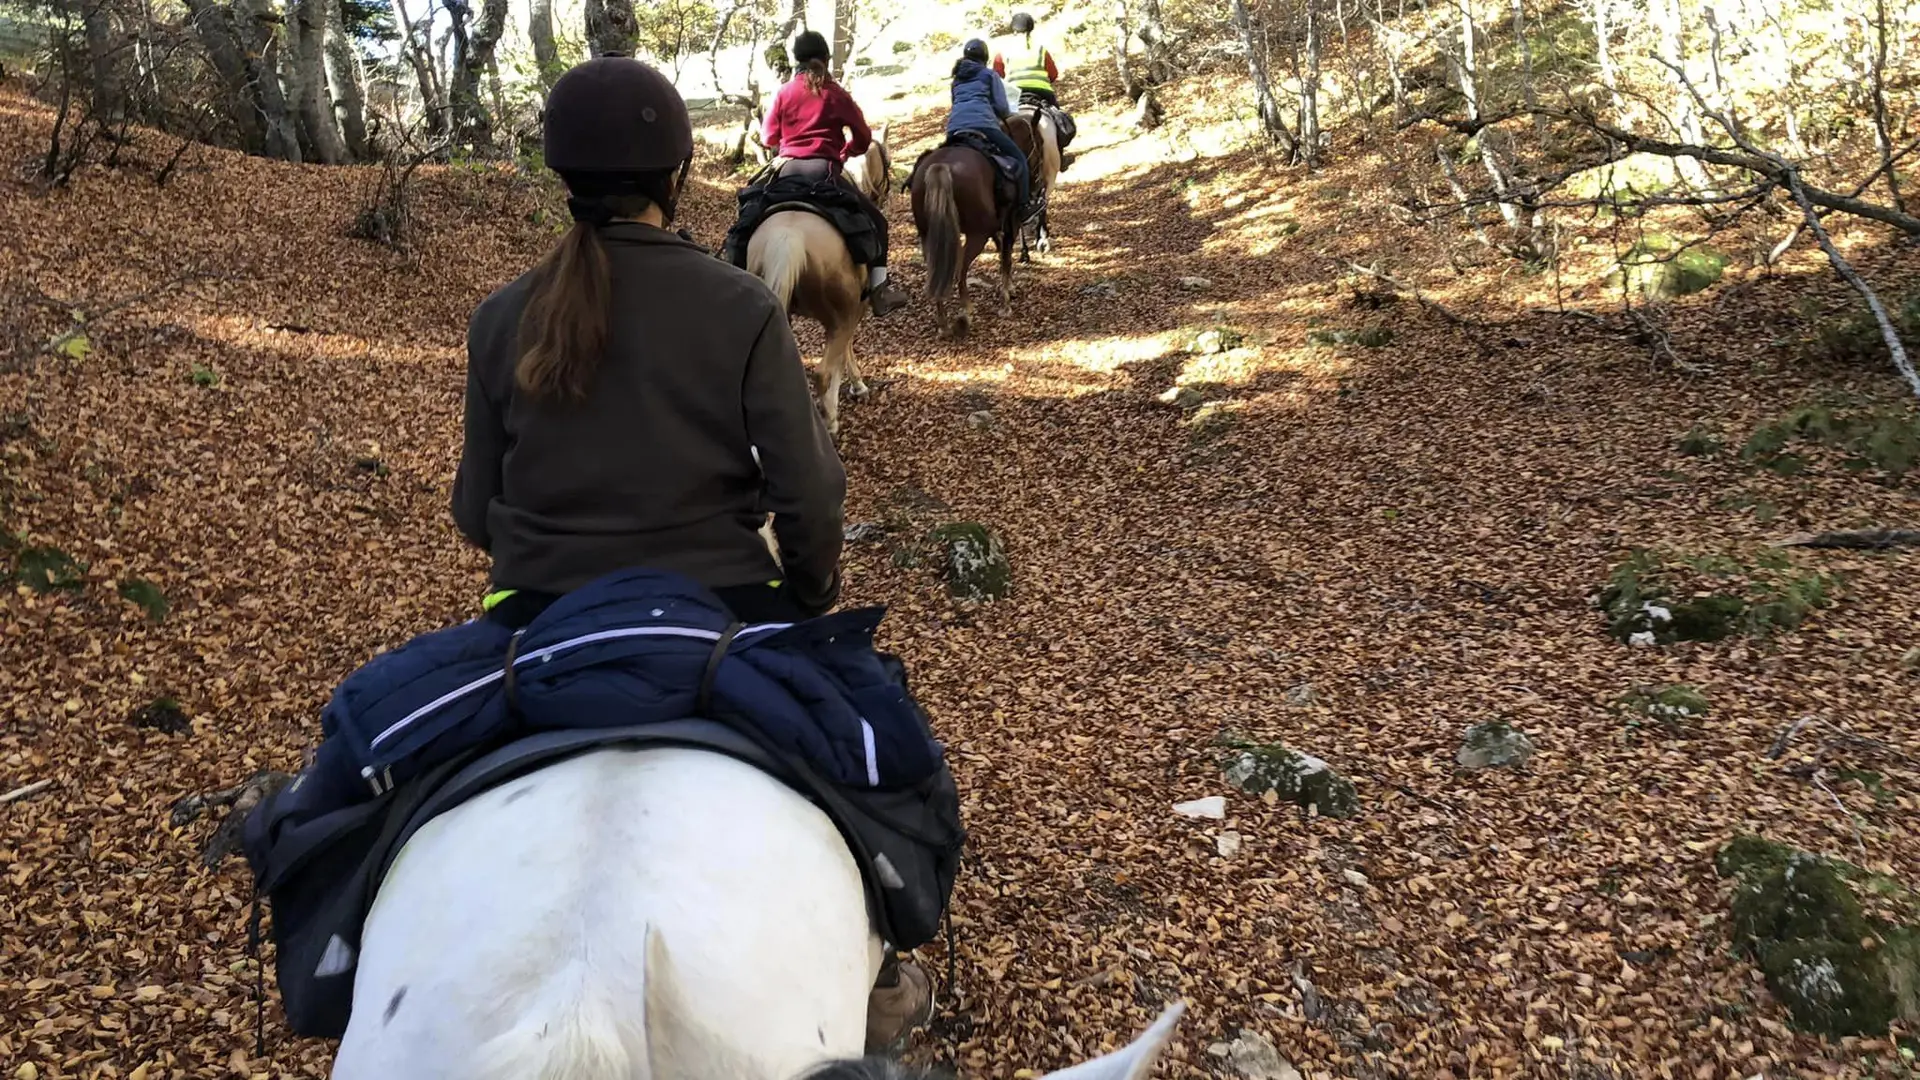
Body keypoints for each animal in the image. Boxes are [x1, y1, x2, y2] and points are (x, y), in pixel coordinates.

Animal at [748, 195, 871, 434]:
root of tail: (788, 236)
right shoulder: (851, 312)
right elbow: (843, 354)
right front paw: (857, 387)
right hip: (840, 317)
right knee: (821, 373)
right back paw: (830, 420)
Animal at [910, 111, 1036, 334]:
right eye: (1034, 140)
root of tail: (941, 166)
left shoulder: (997, 227)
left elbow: (1001, 251)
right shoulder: (1010, 222)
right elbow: (1006, 255)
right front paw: (1006, 298)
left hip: (928, 236)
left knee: (937, 272)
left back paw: (943, 323)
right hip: (977, 234)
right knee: (960, 269)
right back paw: (966, 311)